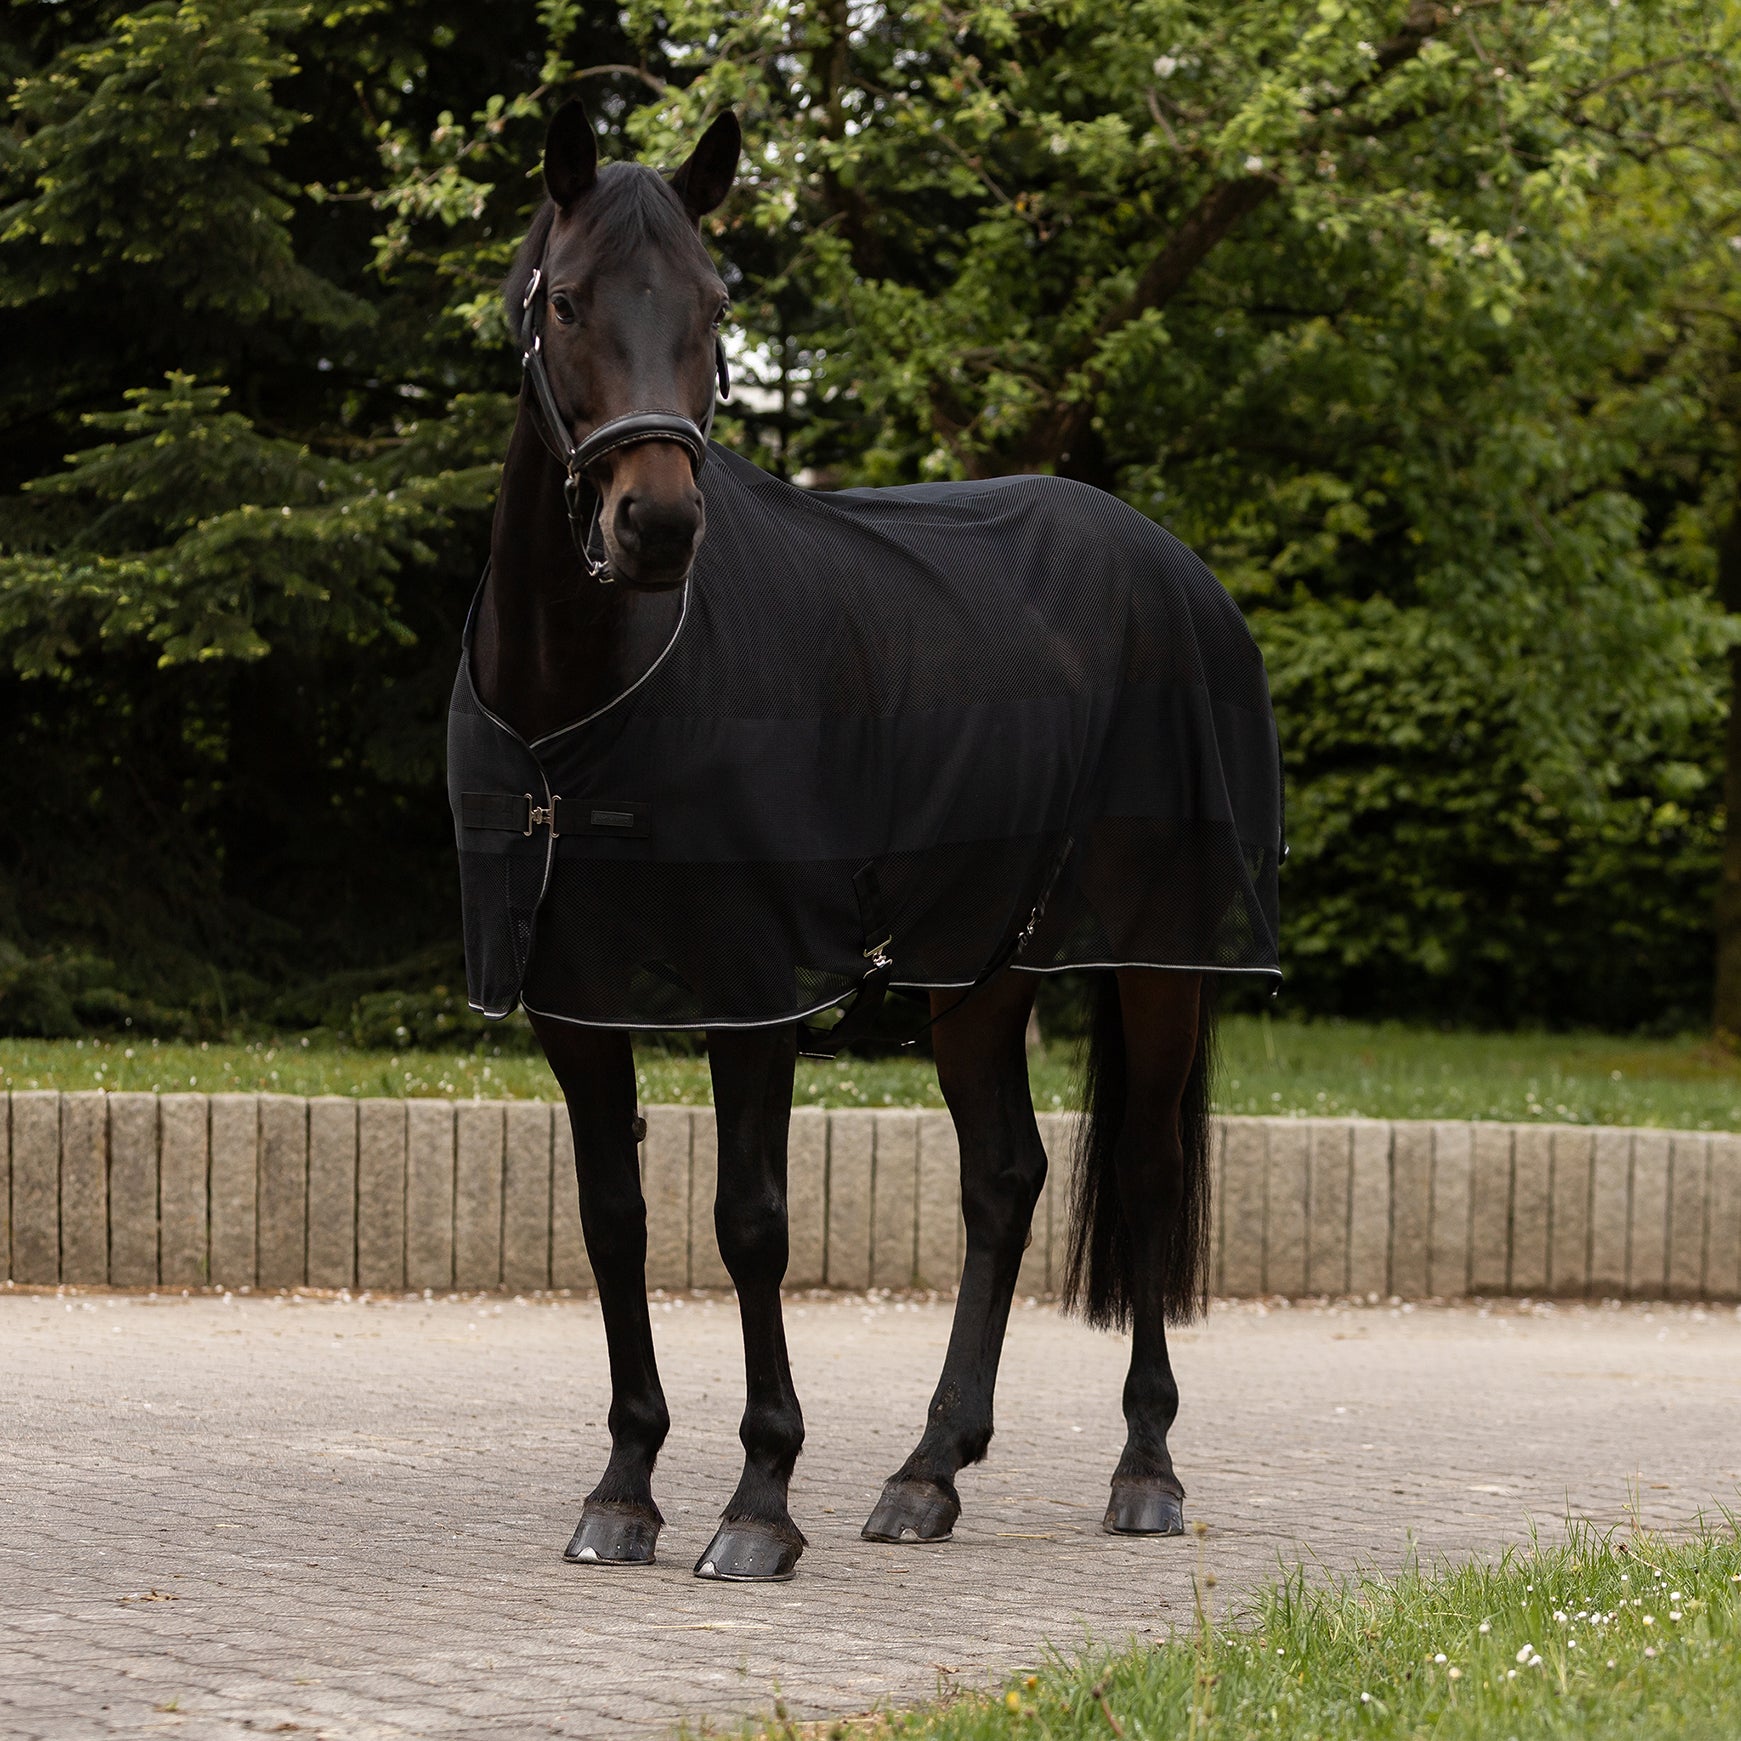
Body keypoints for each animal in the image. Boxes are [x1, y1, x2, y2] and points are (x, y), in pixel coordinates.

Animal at [452, 99, 1283, 1582]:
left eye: (718, 303)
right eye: (564, 301)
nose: (656, 524)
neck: (588, 700)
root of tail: (1173, 566)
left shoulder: (756, 992)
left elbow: (749, 1223)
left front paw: (758, 1500)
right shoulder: (571, 998)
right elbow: (614, 1222)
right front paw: (623, 1488)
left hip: (1159, 957)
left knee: (1140, 1174)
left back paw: (1144, 1469)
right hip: (981, 967)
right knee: (1004, 1180)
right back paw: (927, 1471)